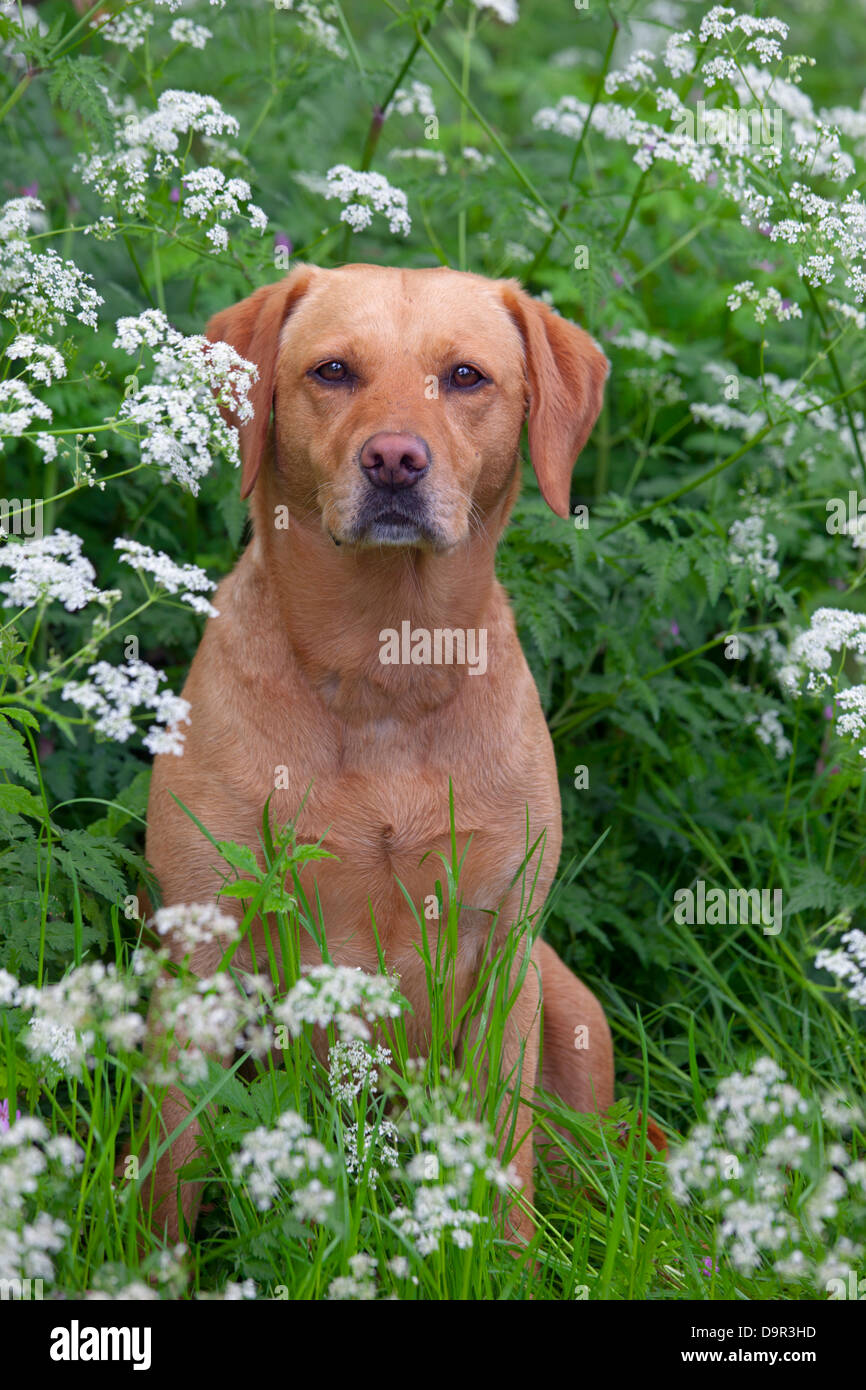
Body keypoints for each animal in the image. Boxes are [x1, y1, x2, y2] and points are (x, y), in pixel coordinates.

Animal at [143, 265, 617, 1245]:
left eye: (468, 377)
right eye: (333, 371)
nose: (395, 459)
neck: (381, 671)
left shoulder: (502, 952)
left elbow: (502, 1150)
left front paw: (504, 1257)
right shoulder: (202, 946)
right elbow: (173, 1166)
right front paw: (154, 1260)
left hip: (572, 1008)